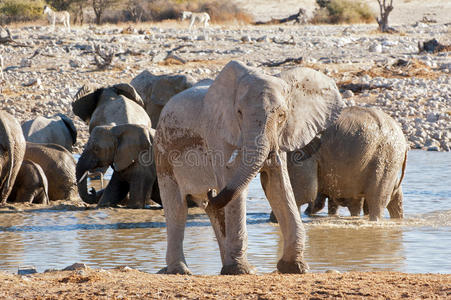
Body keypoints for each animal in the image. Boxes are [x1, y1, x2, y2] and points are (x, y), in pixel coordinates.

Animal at [154, 60, 344, 274]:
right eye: (239, 113)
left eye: (282, 115)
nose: (211, 192)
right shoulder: (218, 135)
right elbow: (236, 188)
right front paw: (243, 271)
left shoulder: (279, 137)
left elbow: (277, 186)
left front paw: (295, 267)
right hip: (163, 152)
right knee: (177, 208)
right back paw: (181, 270)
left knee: (214, 211)